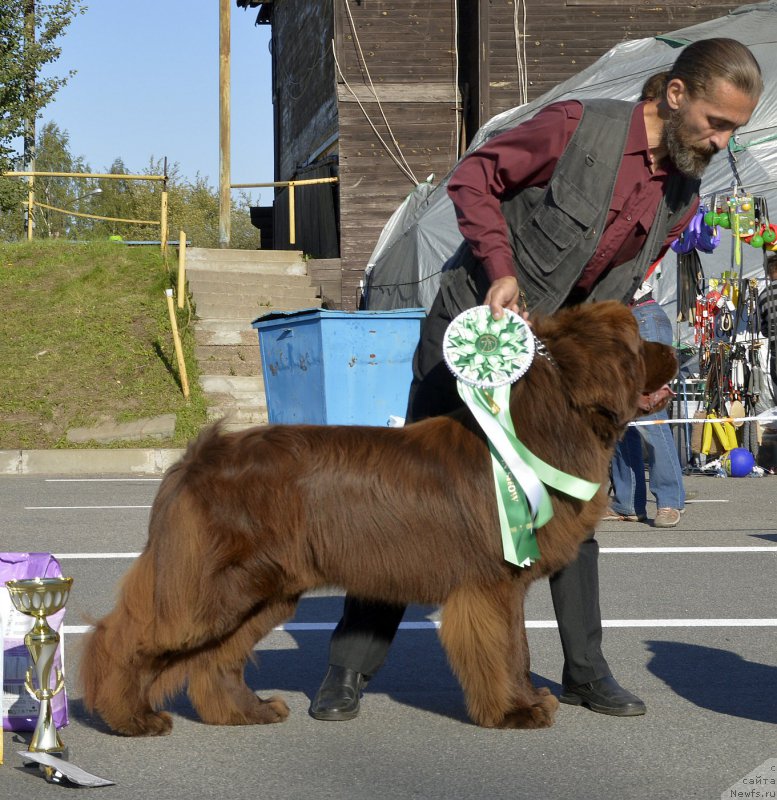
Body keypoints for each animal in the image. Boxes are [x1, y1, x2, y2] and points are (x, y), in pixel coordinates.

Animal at [82, 302, 676, 736]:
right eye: (637, 343)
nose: (676, 350)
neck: (539, 432)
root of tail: (195, 458)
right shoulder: (490, 581)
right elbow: (502, 648)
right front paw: (514, 712)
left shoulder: (508, 580)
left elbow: (517, 646)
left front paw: (529, 700)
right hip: (212, 585)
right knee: (123, 637)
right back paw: (130, 718)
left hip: (263, 589)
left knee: (214, 658)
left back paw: (246, 712)